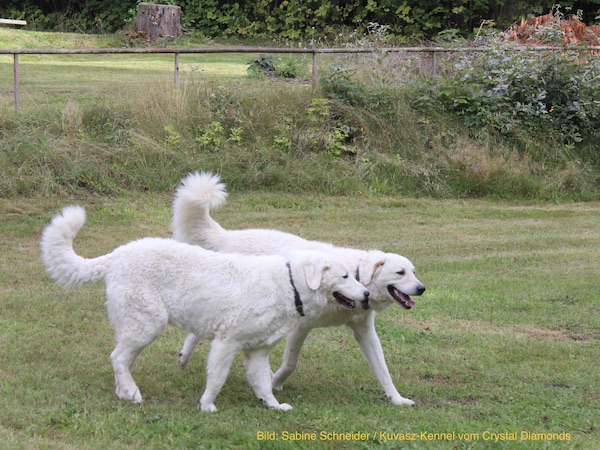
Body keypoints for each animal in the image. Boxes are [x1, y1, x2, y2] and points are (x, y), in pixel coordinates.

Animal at [39, 206, 368, 414]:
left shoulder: (258, 352)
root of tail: (117, 255)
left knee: (121, 359)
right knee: (117, 357)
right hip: (148, 323)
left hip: (136, 325)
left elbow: (264, 383)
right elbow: (217, 379)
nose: (366, 294)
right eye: (345, 276)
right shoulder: (226, 342)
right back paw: (133, 393)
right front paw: (207, 405)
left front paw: (273, 406)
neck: (287, 283)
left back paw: (125, 392)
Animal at [171, 171, 424, 406]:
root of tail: (226, 236)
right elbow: (290, 363)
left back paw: (185, 356)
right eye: (400, 272)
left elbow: (383, 370)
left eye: (414, 271)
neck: (357, 275)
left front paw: (397, 399)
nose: (422, 288)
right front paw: (273, 384)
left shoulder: (365, 333)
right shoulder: (300, 327)